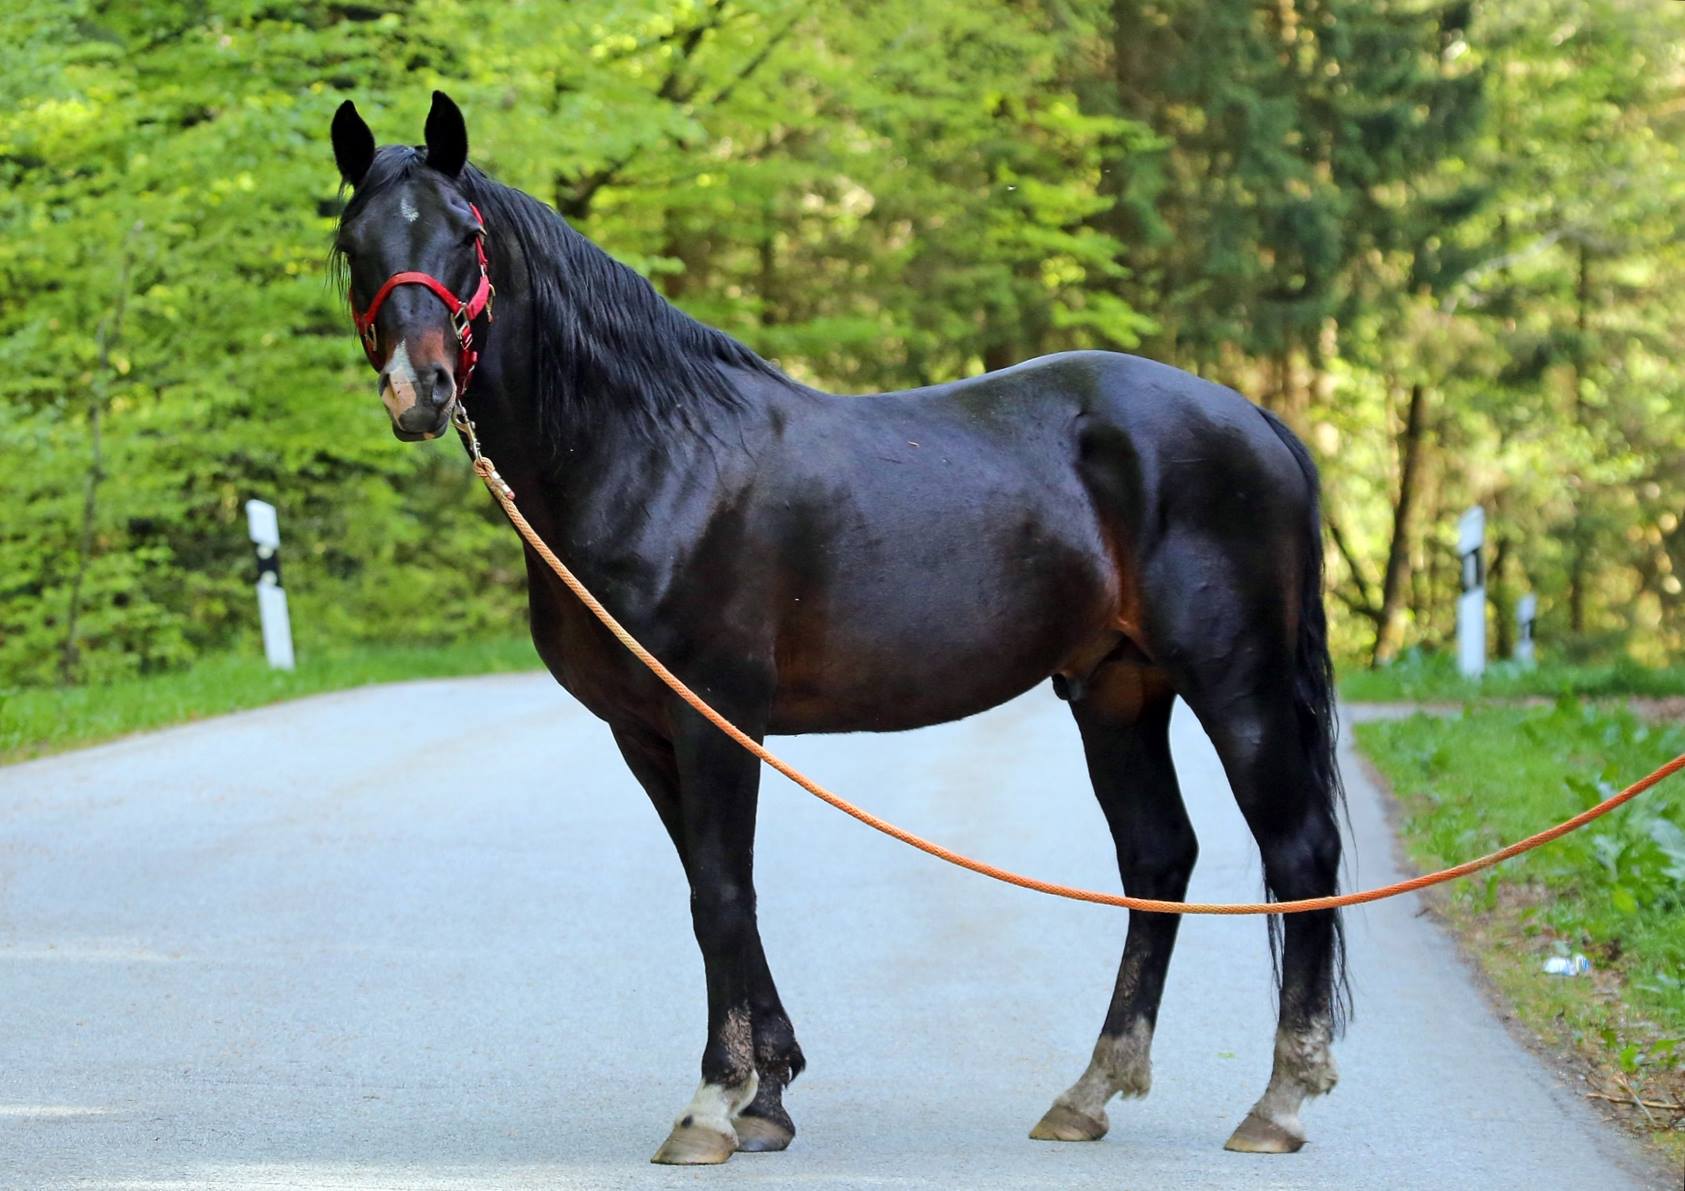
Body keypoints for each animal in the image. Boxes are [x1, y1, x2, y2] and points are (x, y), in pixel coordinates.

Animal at [327, 91, 1349, 1165]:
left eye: (465, 235)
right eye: (355, 241)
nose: (420, 390)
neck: (652, 454)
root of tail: (1252, 418)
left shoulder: (716, 712)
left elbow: (720, 893)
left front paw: (713, 1102)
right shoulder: (644, 729)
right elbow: (714, 889)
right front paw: (768, 1093)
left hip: (1234, 683)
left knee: (1297, 851)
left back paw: (1279, 1098)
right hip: (1116, 688)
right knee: (1157, 857)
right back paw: (1089, 1090)